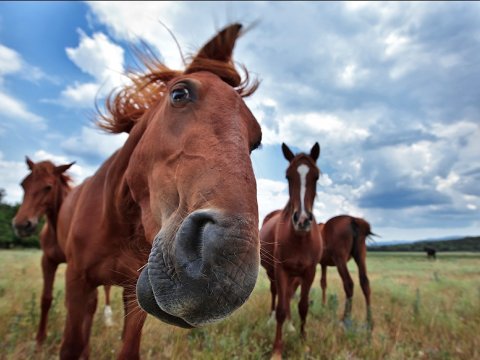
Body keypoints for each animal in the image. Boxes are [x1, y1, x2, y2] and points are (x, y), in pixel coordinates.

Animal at [11, 159, 113, 344]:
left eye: (48, 187)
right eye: (23, 184)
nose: (21, 225)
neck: (57, 227)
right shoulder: (48, 261)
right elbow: (46, 298)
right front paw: (40, 339)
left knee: (107, 289)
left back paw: (108, 318)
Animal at [58, 23, 264, 358]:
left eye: (256, 140)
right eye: (179, 93)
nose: (226, 271)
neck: (118, 220)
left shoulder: (133, 296)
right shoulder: (77, 282)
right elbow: (71, 346)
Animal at [258, 142, 322, 358]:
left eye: (316, 176)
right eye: (288, 176)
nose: (302, 220)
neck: (299, 238)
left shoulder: (309, 272)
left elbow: (302, 306)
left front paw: (303, 343)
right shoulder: (281, 270)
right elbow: (280, 308)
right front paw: (277, 350)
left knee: (287, 296)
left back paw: (291, 325)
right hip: (272, 272)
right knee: (276, 294)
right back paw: (270, 320)